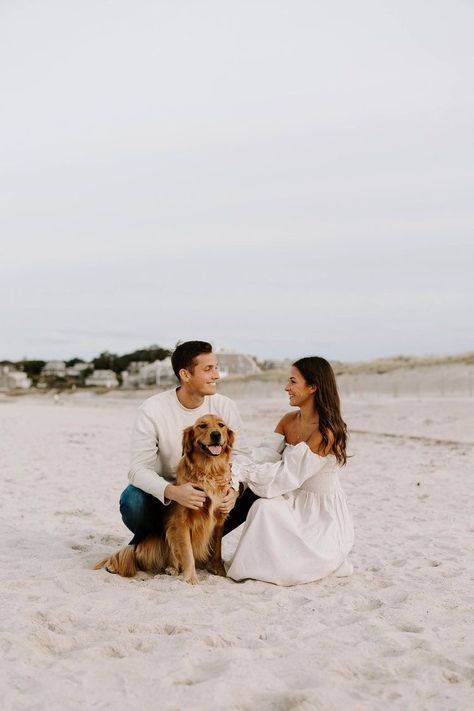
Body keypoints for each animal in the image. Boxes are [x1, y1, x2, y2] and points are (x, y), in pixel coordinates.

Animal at [93, 418, 234, 584]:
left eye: (221, 425)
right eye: (202, 425)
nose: (216, 434)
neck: (208, 470)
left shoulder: (219, 519)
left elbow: (217, 551)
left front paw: (221, 572)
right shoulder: (181, 522)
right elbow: (187, 553)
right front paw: (191, 579)